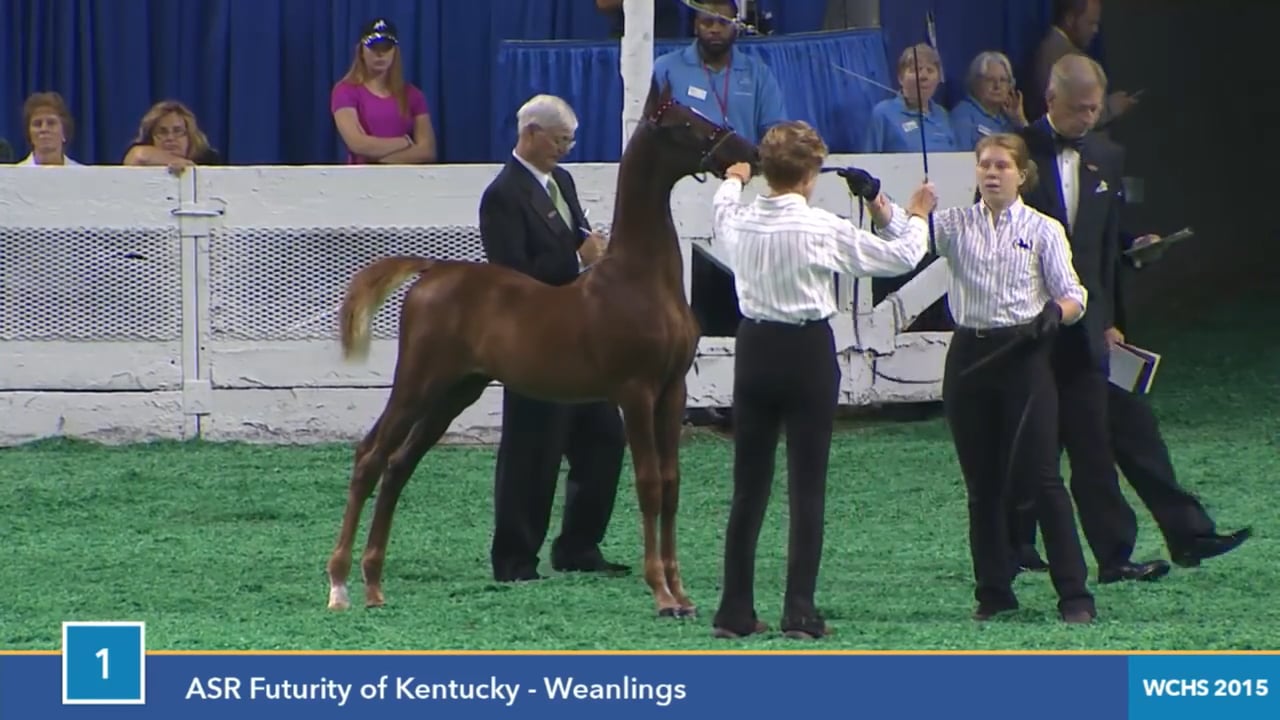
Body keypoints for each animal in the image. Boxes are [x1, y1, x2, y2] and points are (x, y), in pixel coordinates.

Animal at [324, 80, 758, 618]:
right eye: (685, 123)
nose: (751, 153)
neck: (641, 280)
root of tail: (433, 271)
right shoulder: (636, 392)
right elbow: (649, 483)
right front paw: (660, 592)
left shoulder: (671, 392)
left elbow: (671, 483)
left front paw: (681, 595)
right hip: (417, 383)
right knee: (371, 456)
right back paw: (340, 584)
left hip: (455, 392)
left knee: (399, 464)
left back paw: (373, 584)